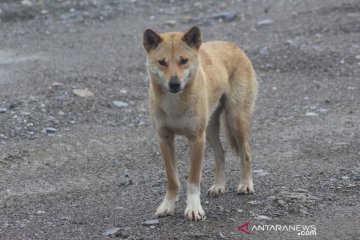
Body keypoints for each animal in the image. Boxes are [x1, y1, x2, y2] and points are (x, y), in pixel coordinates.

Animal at [142, 26, 258, 221]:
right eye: (162, 62)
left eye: (183, 61)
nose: (174, 84)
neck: (175, 104)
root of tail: (233, 45)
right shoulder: (165, 139)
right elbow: (172, 179)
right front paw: (168, 205)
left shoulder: (196, 139)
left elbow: (193, 180)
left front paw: (193, 208)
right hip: (210, 129)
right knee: (220, 154)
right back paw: (219, 186)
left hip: (236, 121)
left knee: (246, 153)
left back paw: (246, 184)